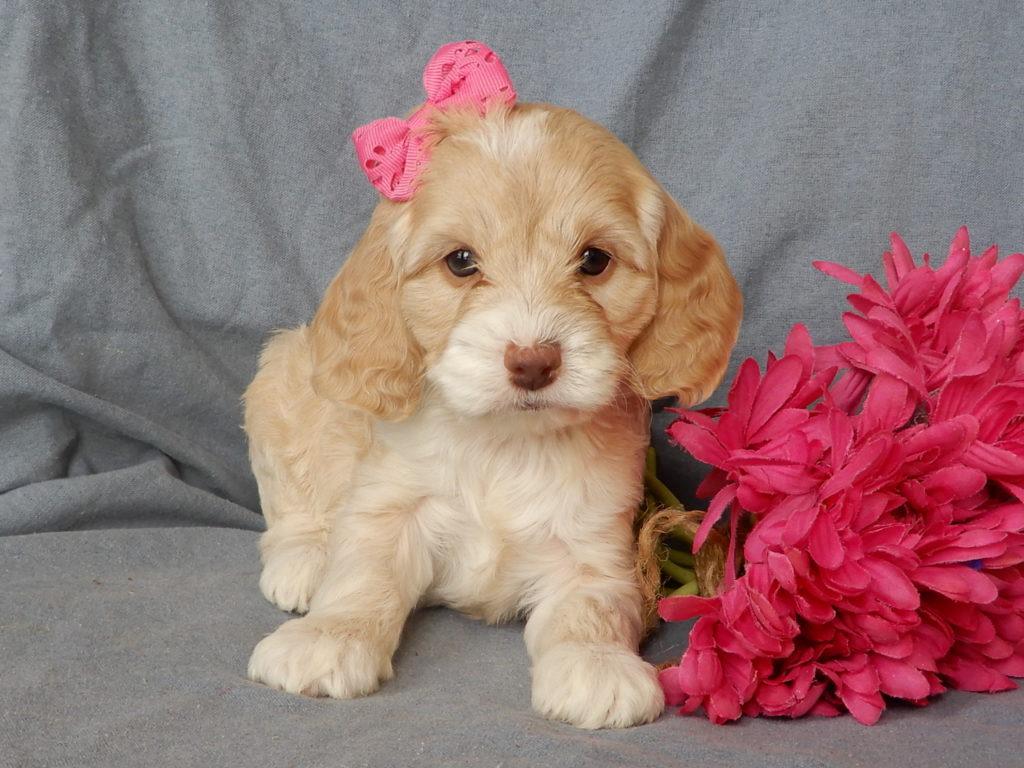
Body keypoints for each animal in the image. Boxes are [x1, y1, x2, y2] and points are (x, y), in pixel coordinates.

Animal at [243, 44, 741, 729]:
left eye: (594, 261)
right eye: (460, 262)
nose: (532, 362)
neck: (506, 442)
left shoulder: (597, 546)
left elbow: (590, 608)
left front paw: (596, 665)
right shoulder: (389, 505)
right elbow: (362, 574)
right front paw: (329, 636)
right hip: (282, 376)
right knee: (294, 502)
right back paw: (301, 560)